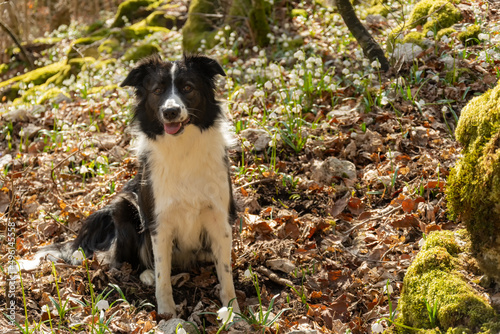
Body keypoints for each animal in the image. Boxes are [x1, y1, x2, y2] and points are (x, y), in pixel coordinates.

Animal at [24, 54, 239, 316]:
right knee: (124, 263)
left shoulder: (219, 217)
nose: (170, 111)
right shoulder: (159, 221)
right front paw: (167, 313)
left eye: (188, 88)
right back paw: (145, 274)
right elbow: (162, 272)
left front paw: (233, 311)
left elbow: (226, 275)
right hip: (124, 208)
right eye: (157, 90)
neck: (183, 149)